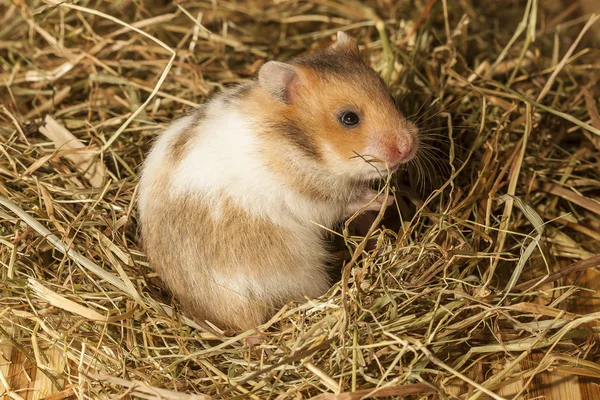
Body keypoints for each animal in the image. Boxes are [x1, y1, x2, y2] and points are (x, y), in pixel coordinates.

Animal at [137, 32, 418, 332]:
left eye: (389, 94)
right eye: (349, 118)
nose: (408, 146)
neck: (298, 144)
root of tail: (232, 323)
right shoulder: (313, 199)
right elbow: (349, 200)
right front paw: (386, 199)